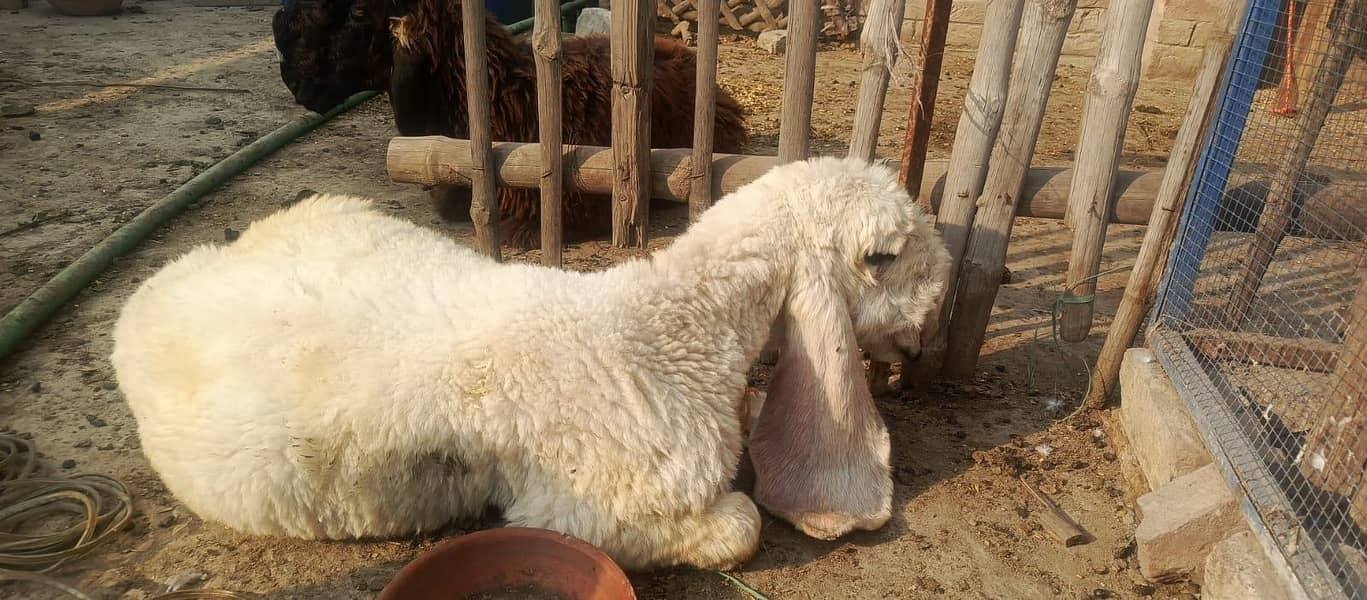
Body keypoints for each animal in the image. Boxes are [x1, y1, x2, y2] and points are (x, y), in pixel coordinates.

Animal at [109, 156, 924, 572]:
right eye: (885, 256)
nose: (920, 342)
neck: (667, 327)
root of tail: (155, 285)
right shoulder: (590, 511)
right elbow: (742, 527)